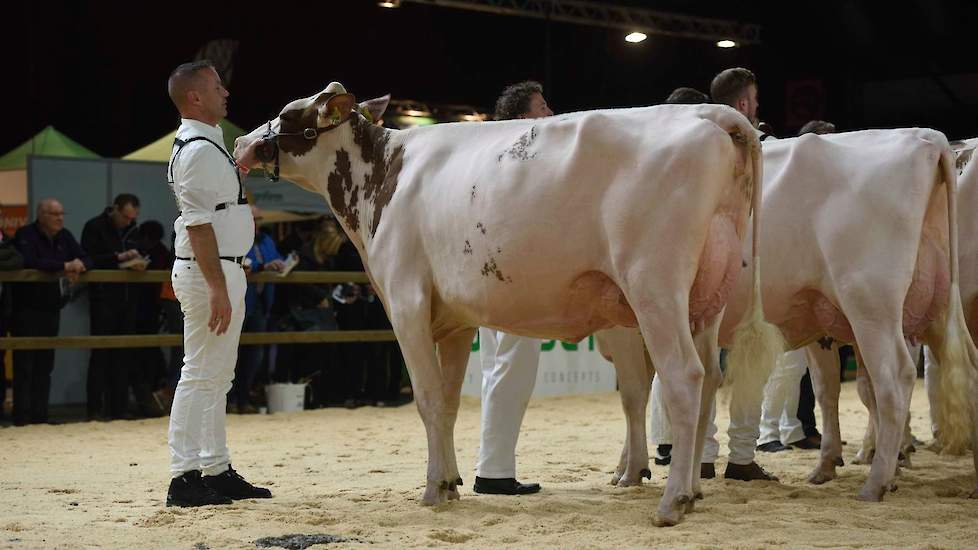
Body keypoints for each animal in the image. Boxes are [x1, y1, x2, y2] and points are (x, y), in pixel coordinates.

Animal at [233, 82, 772, 528]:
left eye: (287, 113)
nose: (240, 146)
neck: (383, 180)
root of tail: (709, 113)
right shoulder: (453, 322)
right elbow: (448, 402)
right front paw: (450, 483)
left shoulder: (406, 301)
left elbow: (426, 399)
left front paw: (432, 490)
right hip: (707, 296)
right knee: (708, 381)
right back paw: (694, 489)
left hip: (654, 285)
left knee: (682, 377)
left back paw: (672, 501)